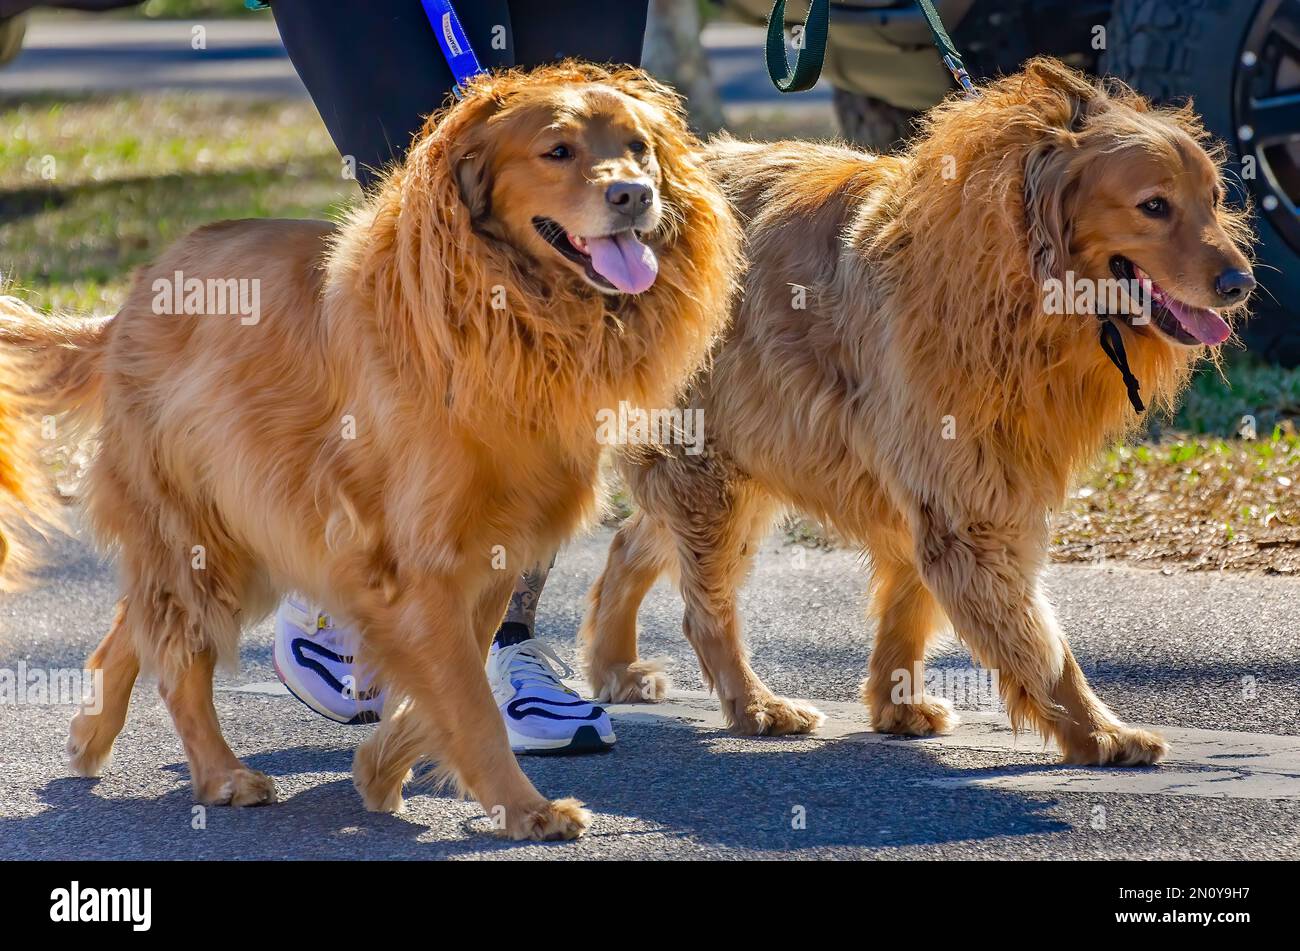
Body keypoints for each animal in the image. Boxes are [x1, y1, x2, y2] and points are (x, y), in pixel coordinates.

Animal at [0, 61, 738, 841]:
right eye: (558, 151)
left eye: (637, 147)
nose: (634, 195)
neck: (506, 309)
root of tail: (129, 302)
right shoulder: (422, 561)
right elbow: (469, 701)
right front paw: (524, 807)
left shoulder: (487, 554)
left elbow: (453, 681)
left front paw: (380, 766)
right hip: (204, 527)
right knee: (177, 655)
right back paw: (222, 774)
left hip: (235, 534)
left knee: (130, 631)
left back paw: (90, 736)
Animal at [579, 59, 1248, 763]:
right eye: (1154, 206)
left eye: (1214, 200)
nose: (1242, 283)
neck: (1023, 279)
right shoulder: (967, 500)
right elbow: (1037, 643)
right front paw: (1097, 731)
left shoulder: (941, 482)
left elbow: (911, 604)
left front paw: (897, 706)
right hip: (711, 467)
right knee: (702, 606)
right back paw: (756, 705)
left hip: (741, 455)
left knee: (630, 543)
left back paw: (615, 669)